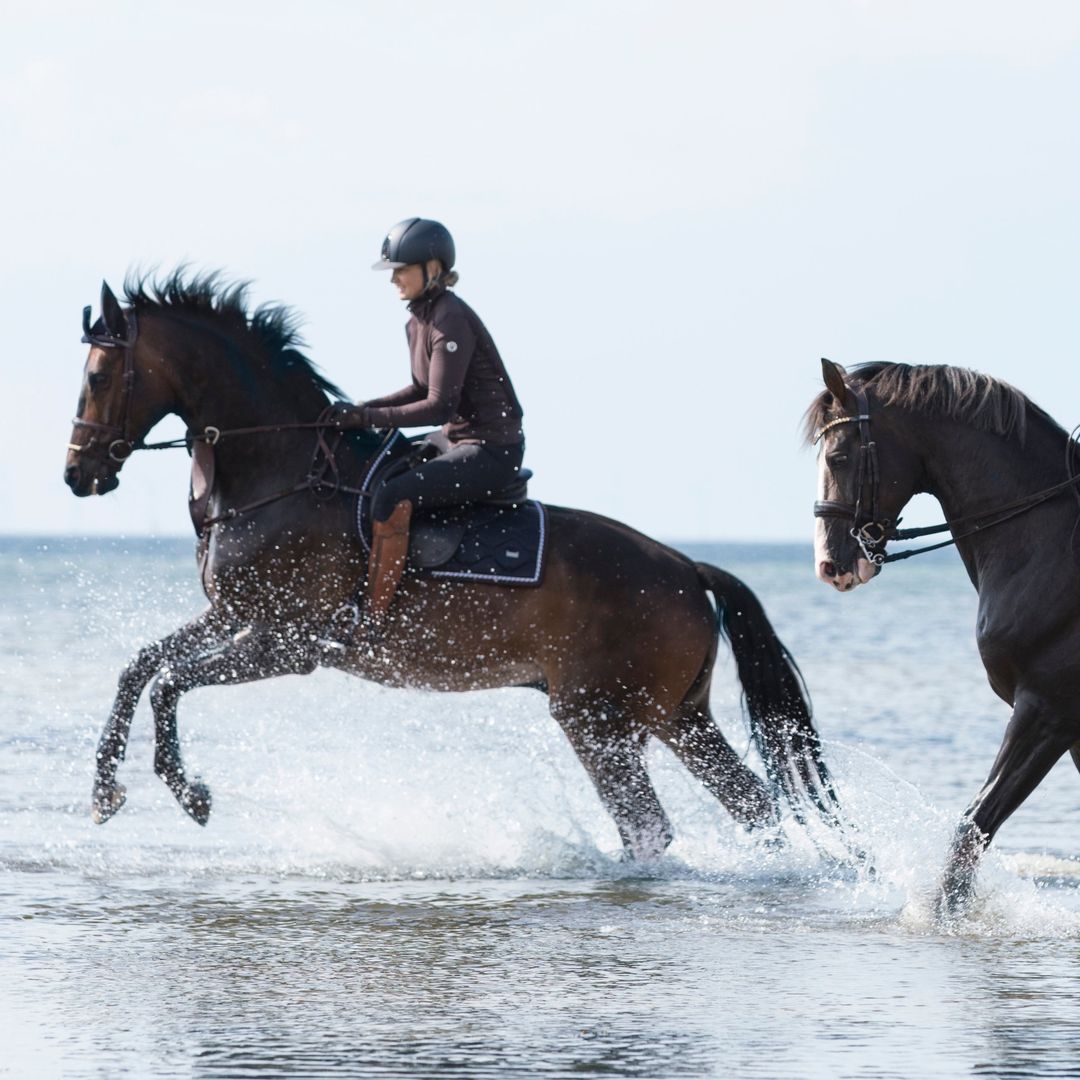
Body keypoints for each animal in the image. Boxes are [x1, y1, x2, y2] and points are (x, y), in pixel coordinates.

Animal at [63, 272, 838, 859]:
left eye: (99, 376)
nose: (76, 476)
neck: (280, 471)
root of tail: (687, 570)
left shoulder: (285, 643)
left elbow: (168, 682)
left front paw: (189, 792)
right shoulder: (235, 616)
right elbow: (140, 667)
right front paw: (106, 792)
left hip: (598, 719)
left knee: (651, 827)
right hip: (676, 717)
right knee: (754, 809)